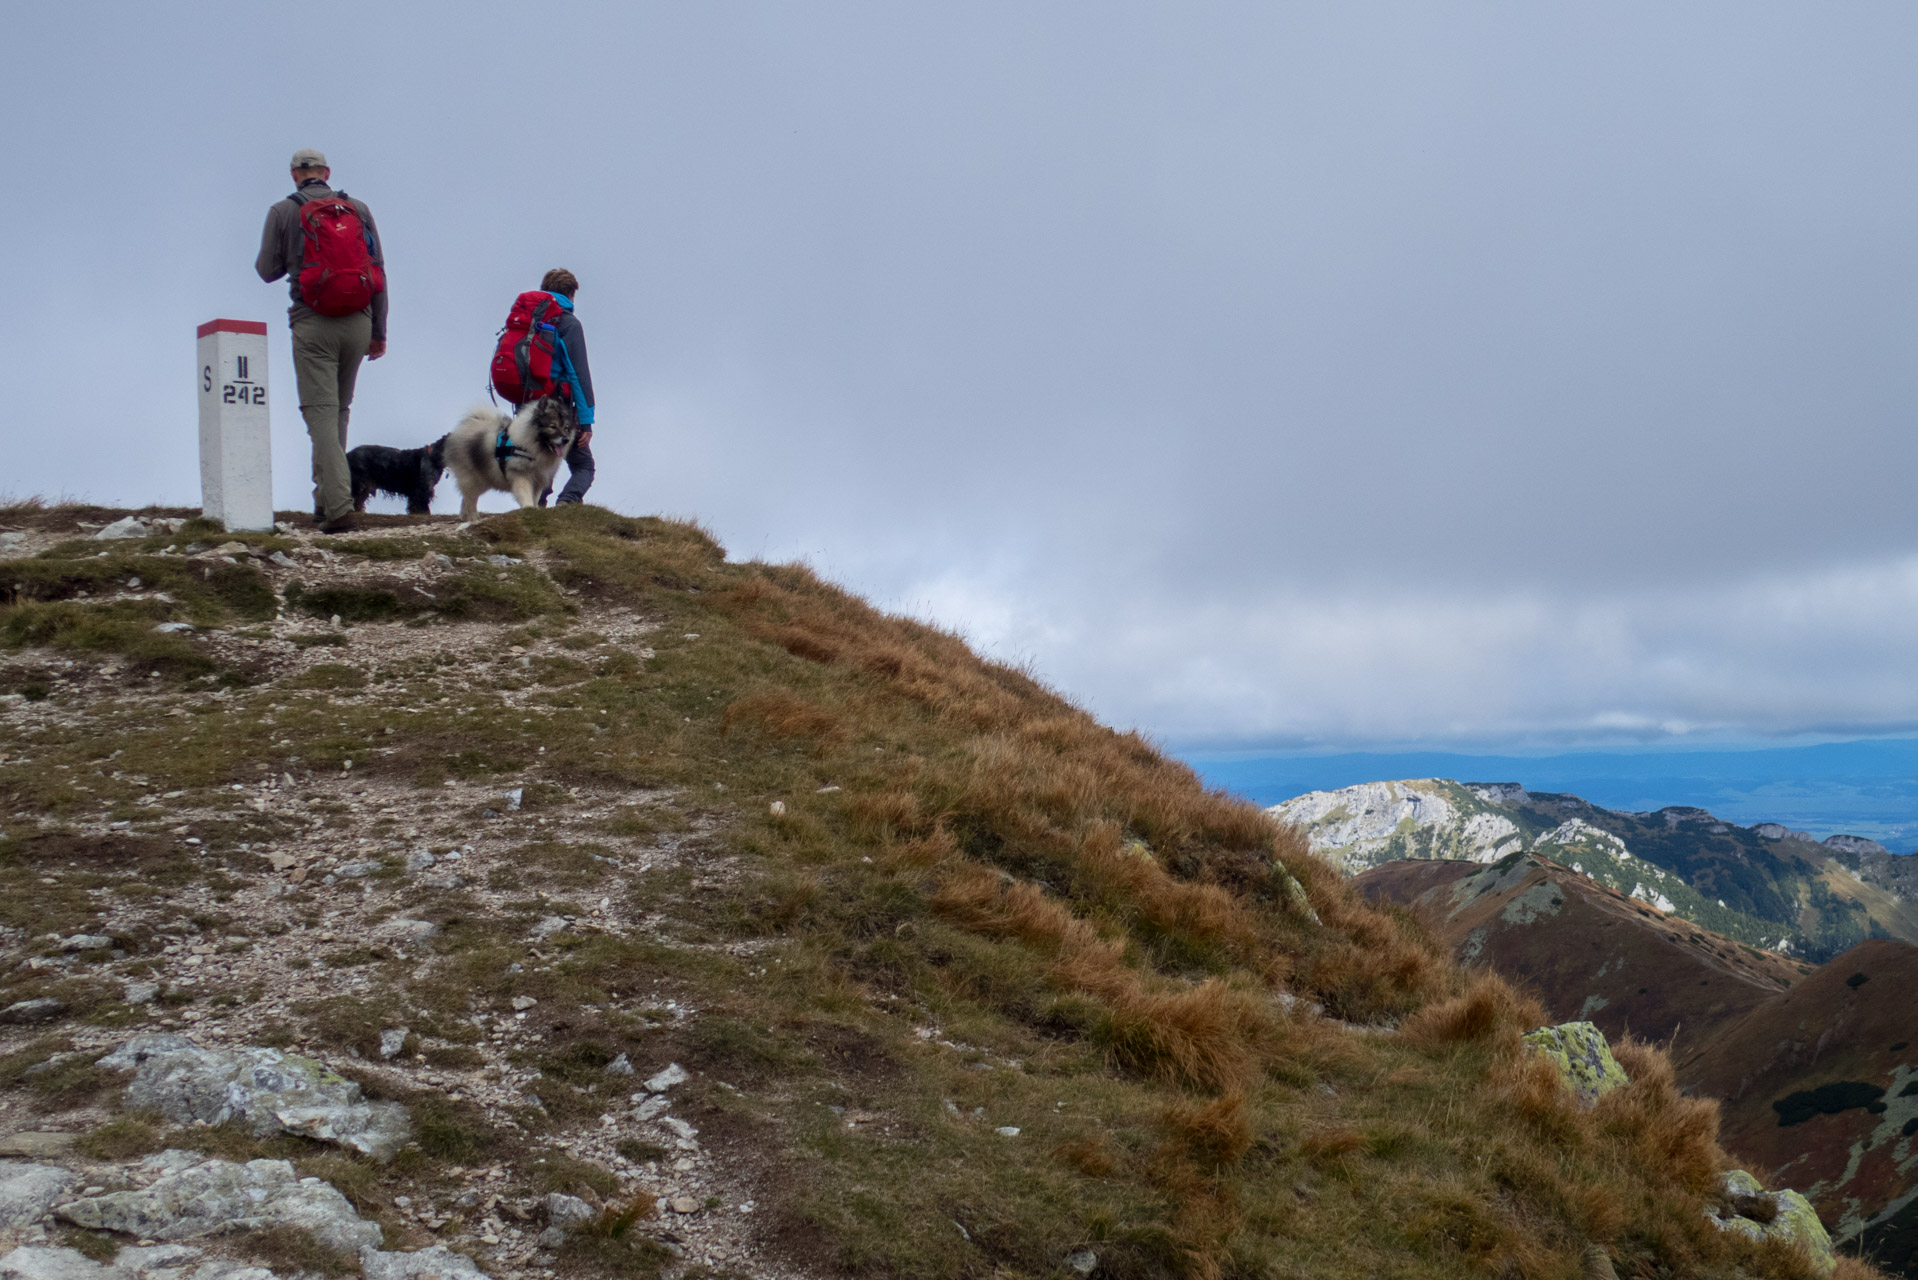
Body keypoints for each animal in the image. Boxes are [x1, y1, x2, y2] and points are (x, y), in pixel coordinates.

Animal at [443, 401, 575, 521]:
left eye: (566, 428)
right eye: (552, 427)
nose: (566, 440)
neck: (530, 446)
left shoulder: (539, 479)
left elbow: (535, 498)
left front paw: (535, 509)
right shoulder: (521, 475)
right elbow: (526, 495)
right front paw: (529, 508)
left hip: (484, 479)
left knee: (467, 497)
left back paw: (464, 516)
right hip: (472, 478)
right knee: (470, 499)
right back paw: (473, 518)